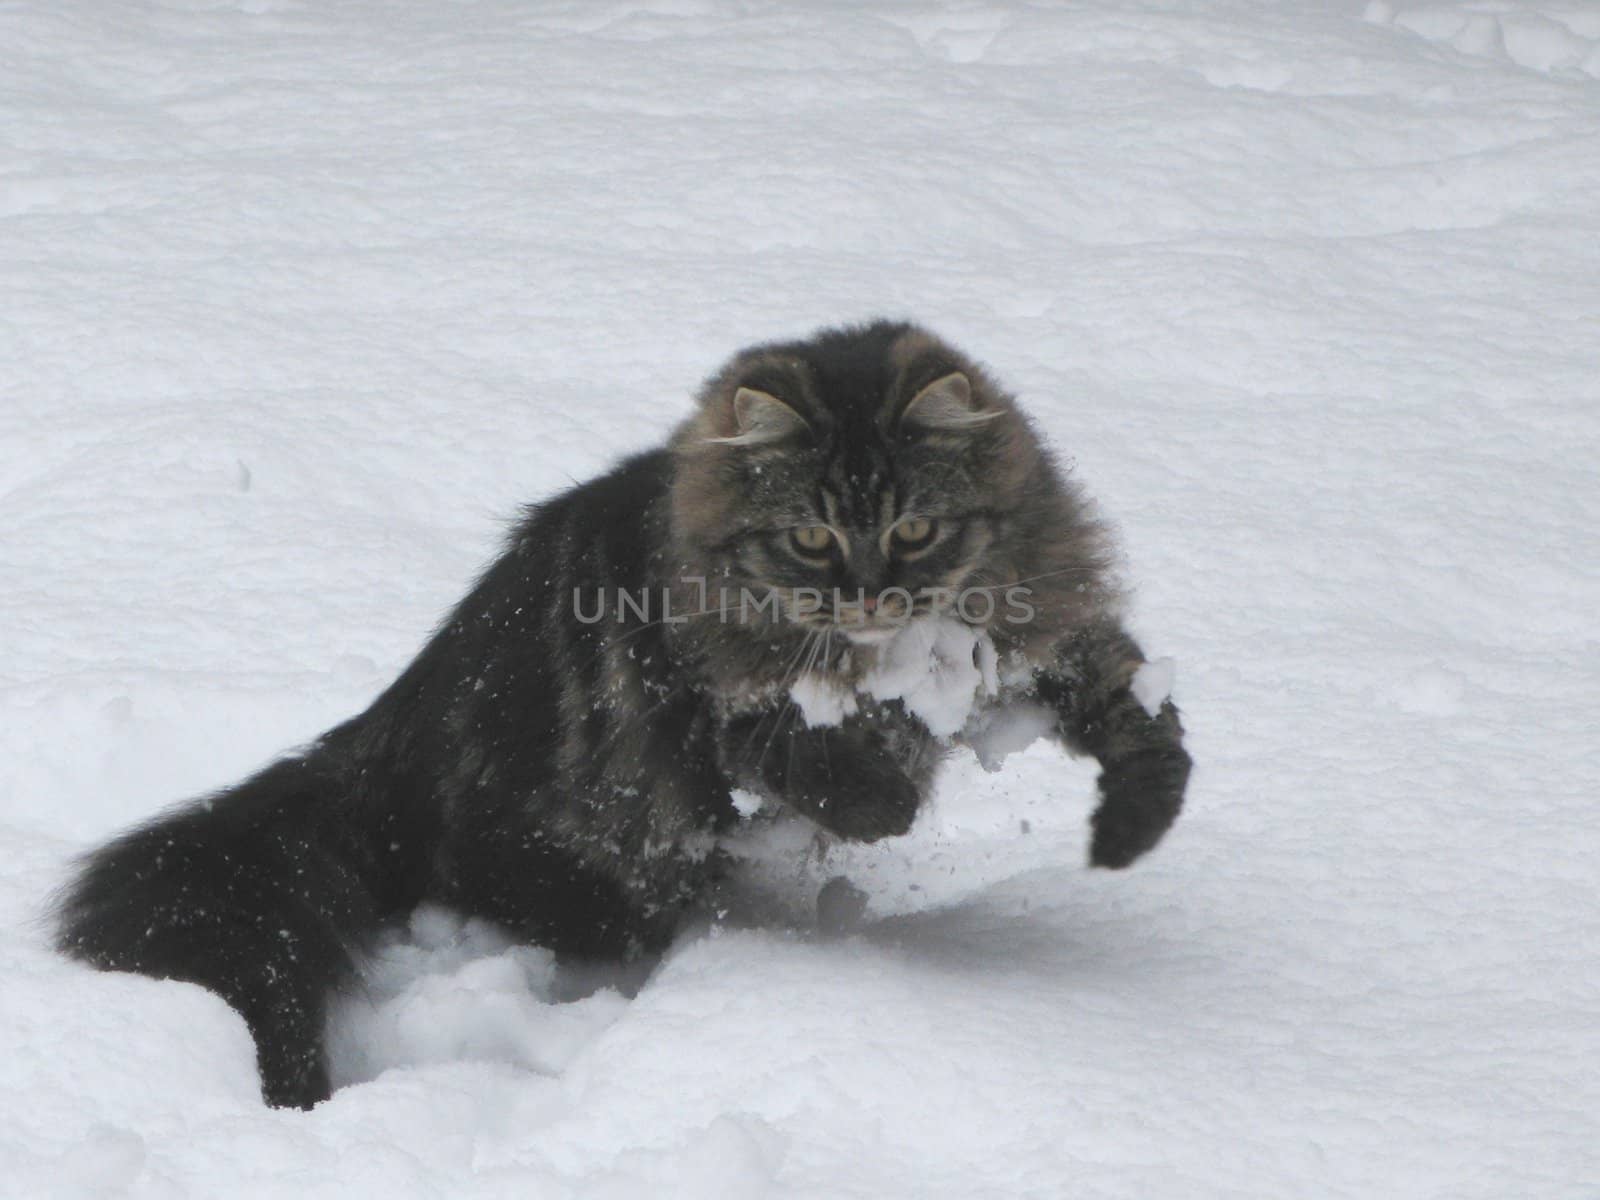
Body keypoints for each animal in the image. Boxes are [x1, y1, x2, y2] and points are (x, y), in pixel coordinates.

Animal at [53, 316, 1190, 1107]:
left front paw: (1129, 832)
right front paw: (886, 805)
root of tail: (375, 753)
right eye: (810, 541)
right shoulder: (712, 710)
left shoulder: (1048, 641)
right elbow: (815, 765)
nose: (872, 595)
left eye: (914, 530)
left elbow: (1145, 722)